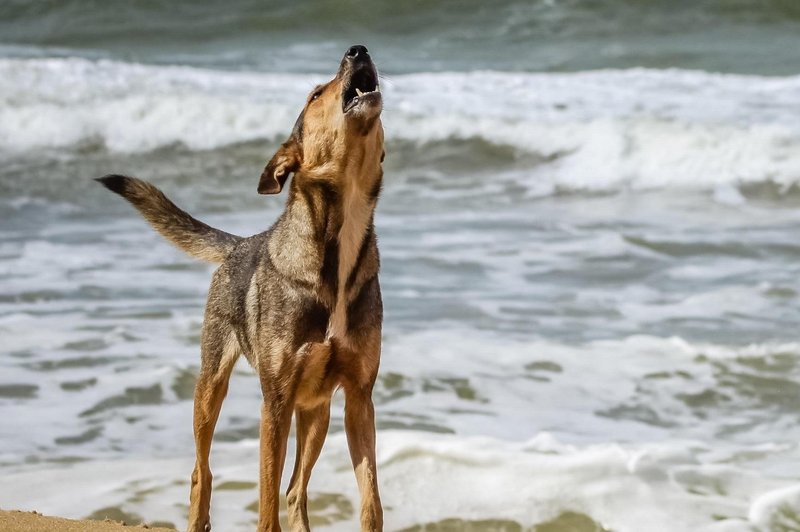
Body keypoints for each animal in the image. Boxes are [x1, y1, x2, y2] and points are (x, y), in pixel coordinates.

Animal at [98, 46, 386, 532]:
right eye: (315, 94)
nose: (358, 50)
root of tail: (238, 243)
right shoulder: (276, 401)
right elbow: (265, 503)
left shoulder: (359, 398)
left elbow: (371, 502)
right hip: (212, 384)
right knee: (202, 470)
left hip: (318, 410)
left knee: (296, 490)